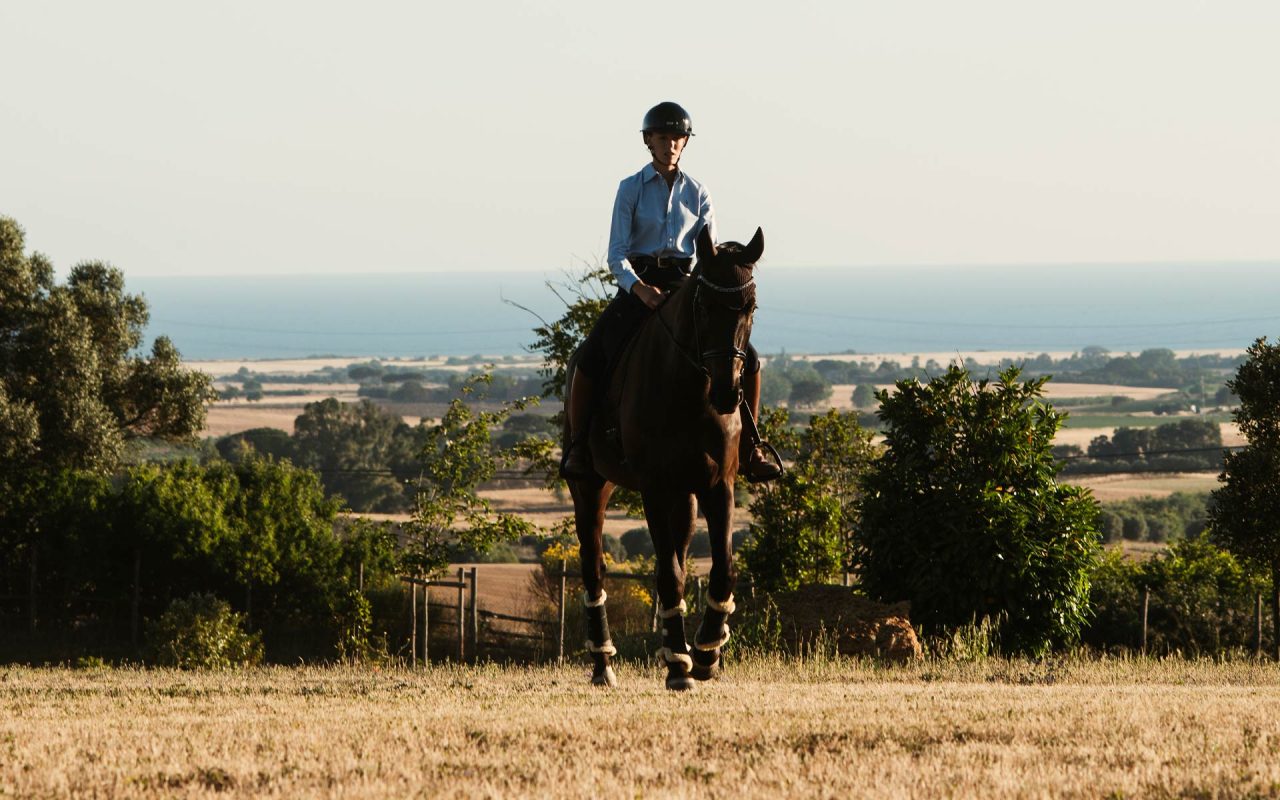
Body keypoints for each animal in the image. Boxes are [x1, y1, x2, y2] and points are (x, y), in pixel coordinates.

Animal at [560, 222, 757, 686]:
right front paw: (684, 664)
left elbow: (721, 570)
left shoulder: (719, 485)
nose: (728, 393)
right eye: (703, 306)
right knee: (593, 567)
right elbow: (668, 574)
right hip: (591, 488)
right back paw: (603, 663)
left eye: (750, 306)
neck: (690, 391)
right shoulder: (653, 487)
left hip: (684, 496)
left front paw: (706, 651)